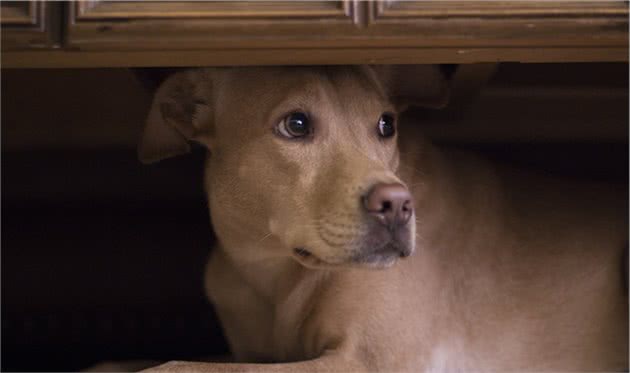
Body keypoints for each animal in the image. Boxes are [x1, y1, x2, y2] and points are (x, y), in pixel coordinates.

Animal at [137, 65, 628, 370]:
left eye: (385, 124)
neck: (270, 271)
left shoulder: (361, 359)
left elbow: (177, 366)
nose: (398, 205)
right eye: (296, 125)